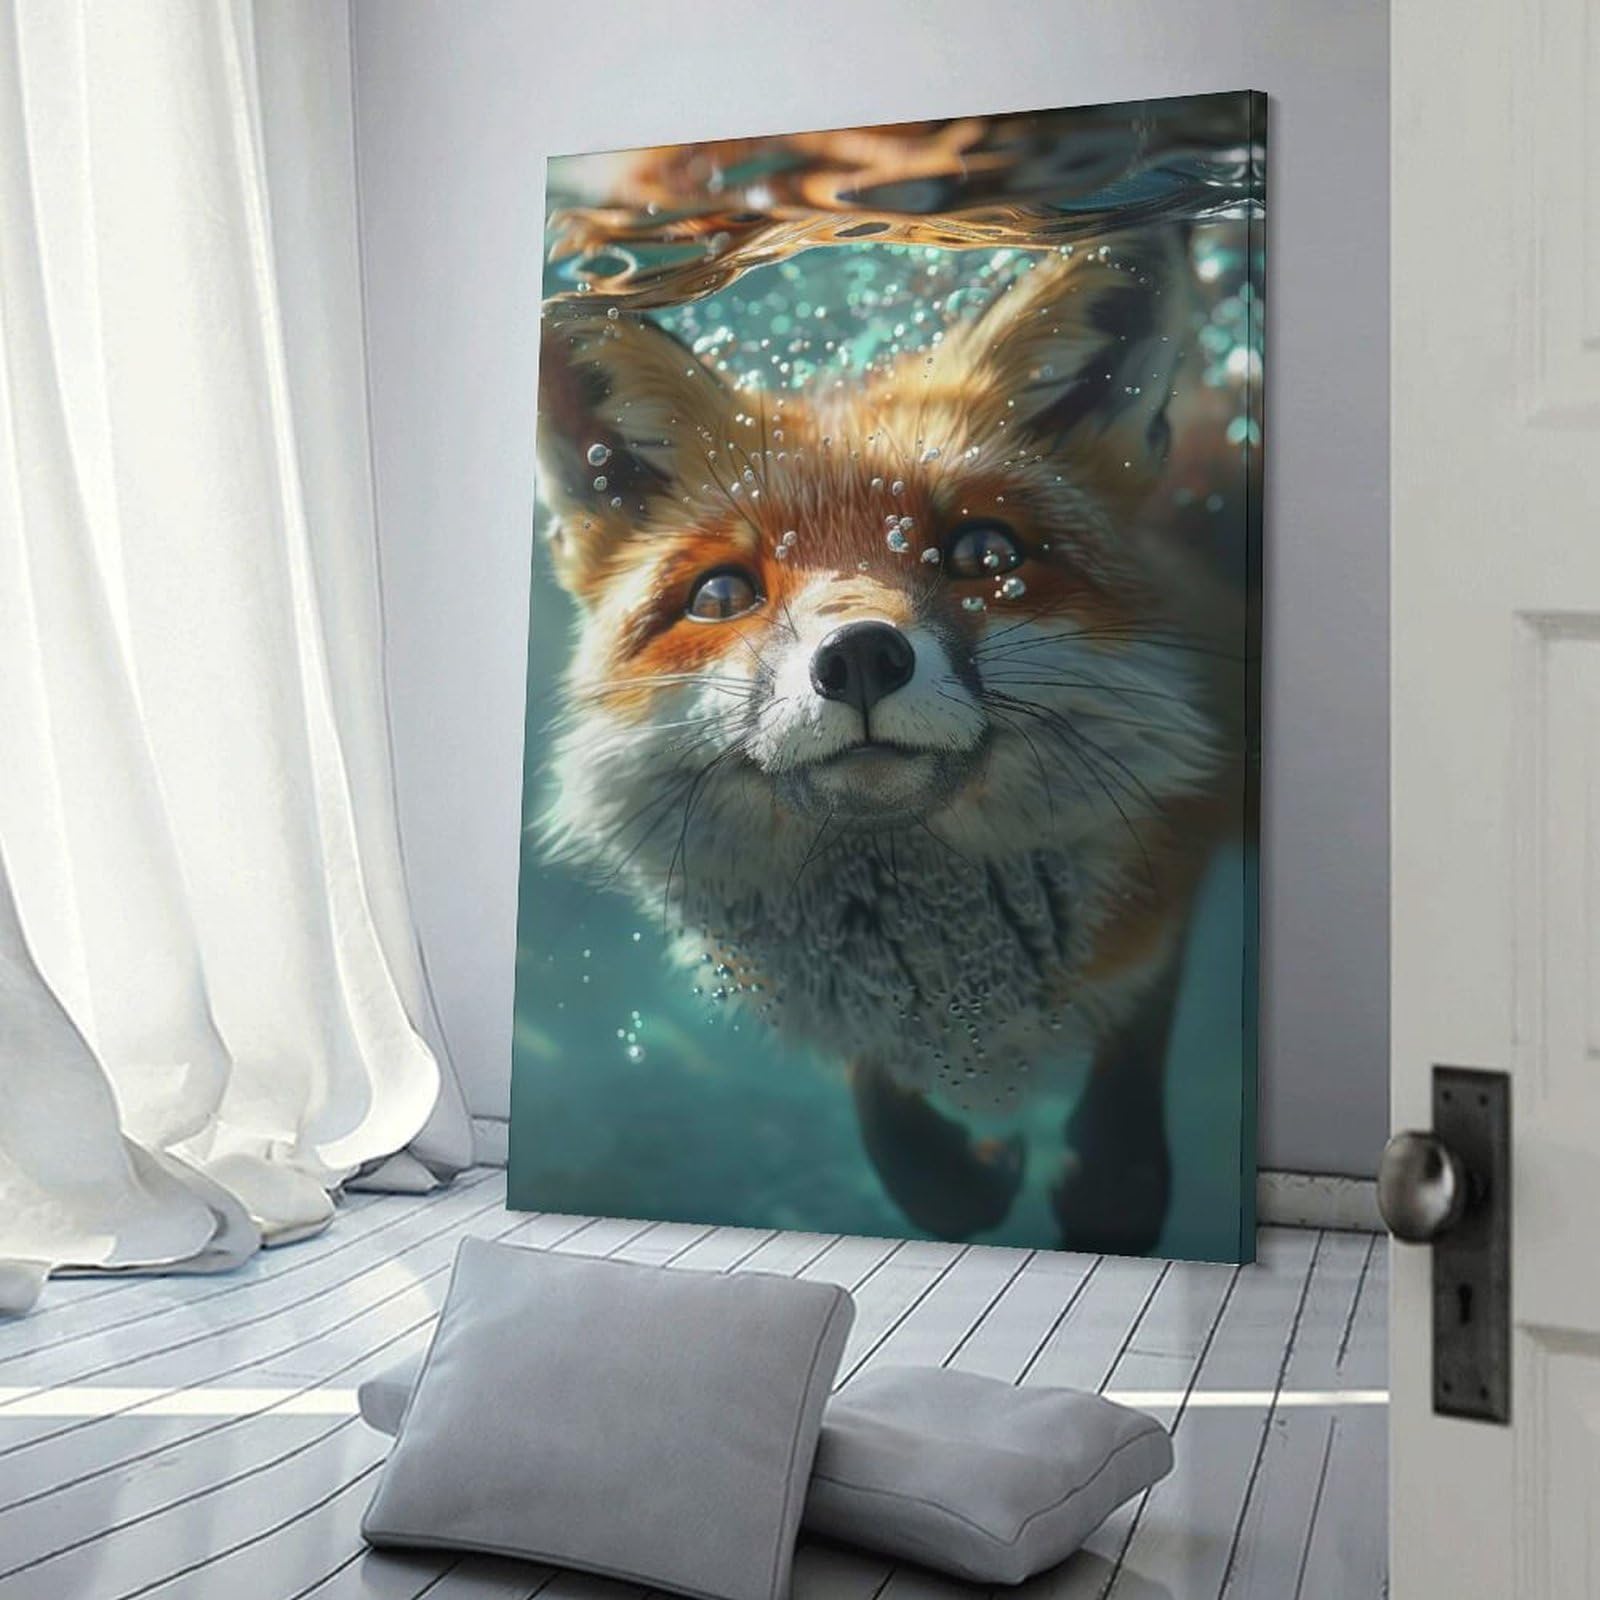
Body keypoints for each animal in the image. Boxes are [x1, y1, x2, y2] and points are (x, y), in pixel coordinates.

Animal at [534, 236, 1247, 1253]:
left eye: (985, 554)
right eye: (722, 594)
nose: (862, 656)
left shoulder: (1174, 857)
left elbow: (1132, 1054)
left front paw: (1112, 1183)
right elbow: (893, 1128)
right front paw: (961, 1174)